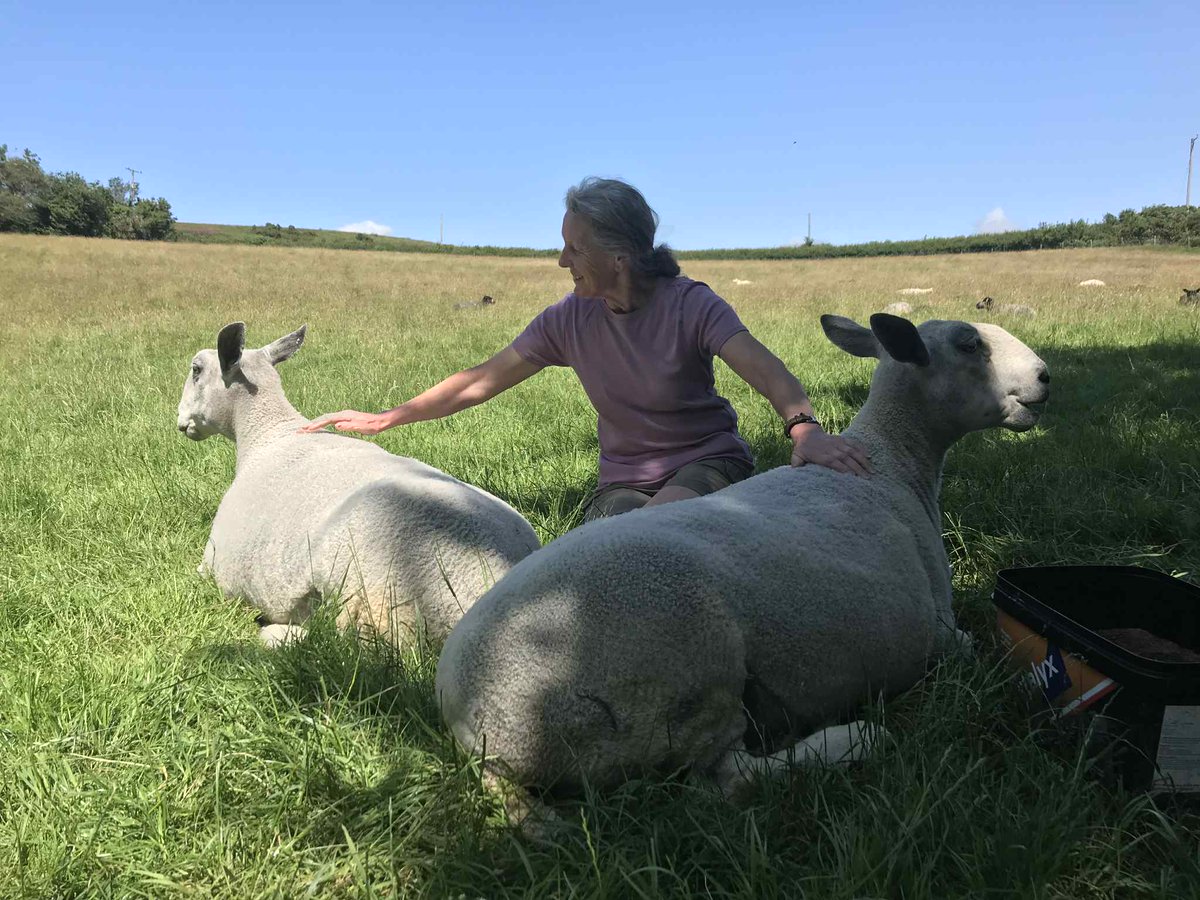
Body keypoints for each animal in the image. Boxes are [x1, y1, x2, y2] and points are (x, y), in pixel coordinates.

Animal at [177, 322, 540, 647]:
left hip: (380, 602)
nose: (181, 422)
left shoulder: (211, 564)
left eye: (196, 369)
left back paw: (276, 634)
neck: (266, 433)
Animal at [436, 313, 1050, 806]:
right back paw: (855, 739)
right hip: (684, 680)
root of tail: (478, 730)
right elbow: (970, 645)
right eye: (969, 344)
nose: (1046, 377)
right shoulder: (939, 632)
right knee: (730, 779)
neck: (893, 464)